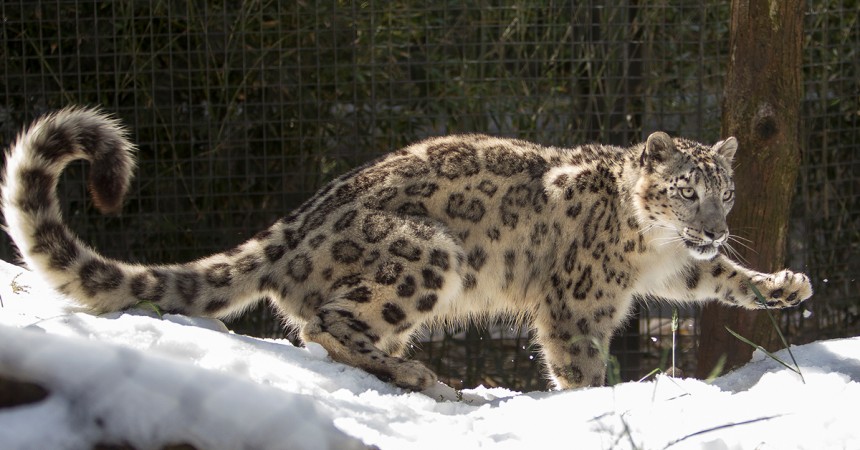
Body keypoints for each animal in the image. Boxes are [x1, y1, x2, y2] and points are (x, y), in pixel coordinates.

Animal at [1, 107, 812, 388]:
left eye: (725, 190)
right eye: (684, 187)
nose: (715, 225)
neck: (651, 248)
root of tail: (294, 225)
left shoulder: (679, 270)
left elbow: (723, 280)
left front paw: (785, 286)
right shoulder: (579, 304)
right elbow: (582, 364)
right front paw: (590, 402)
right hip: (426, 253)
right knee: (328, 320)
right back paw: (425, 377)